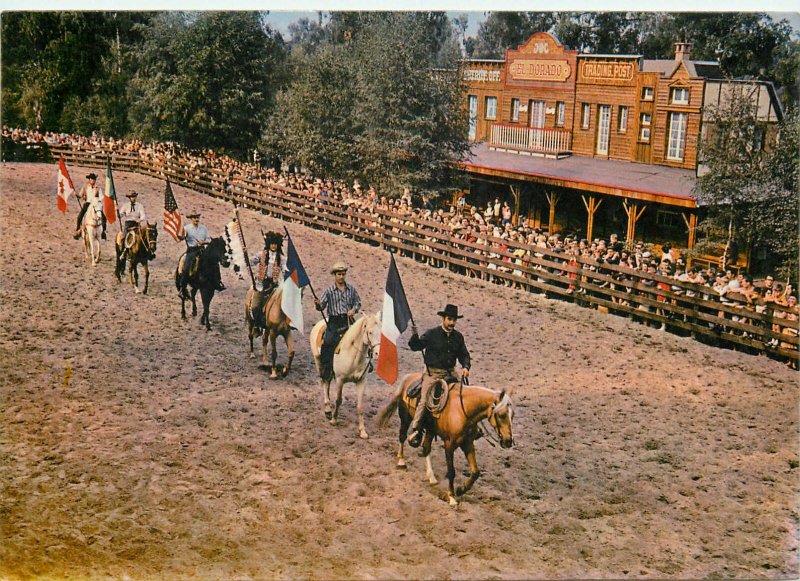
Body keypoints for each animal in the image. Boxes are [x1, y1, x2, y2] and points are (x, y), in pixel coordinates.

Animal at [310, 310, 382, 438]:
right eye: (370, 332)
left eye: (381, 331)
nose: (377, 353)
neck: (354, 356)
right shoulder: (340, 379)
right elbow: (338, 400)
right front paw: (334, 420)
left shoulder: (361, 381)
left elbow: (360, 407)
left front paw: (362, 431)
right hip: (319, 362)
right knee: (324, 382)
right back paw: (327, 409)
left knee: (327, 382)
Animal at [378, 374, 516, 506]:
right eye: (501, 415)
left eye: (513, 415)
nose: (508, 441)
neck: (463, 410)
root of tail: (408, 377)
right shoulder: (449, 444)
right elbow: (451, 471)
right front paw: (452, 497)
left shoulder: (468, 443)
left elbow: (475, 472)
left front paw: (461, 489)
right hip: (405, 417)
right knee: (402, 436)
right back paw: (401, 461)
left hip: (430, 430)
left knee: (426, 448)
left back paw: (432, 478)